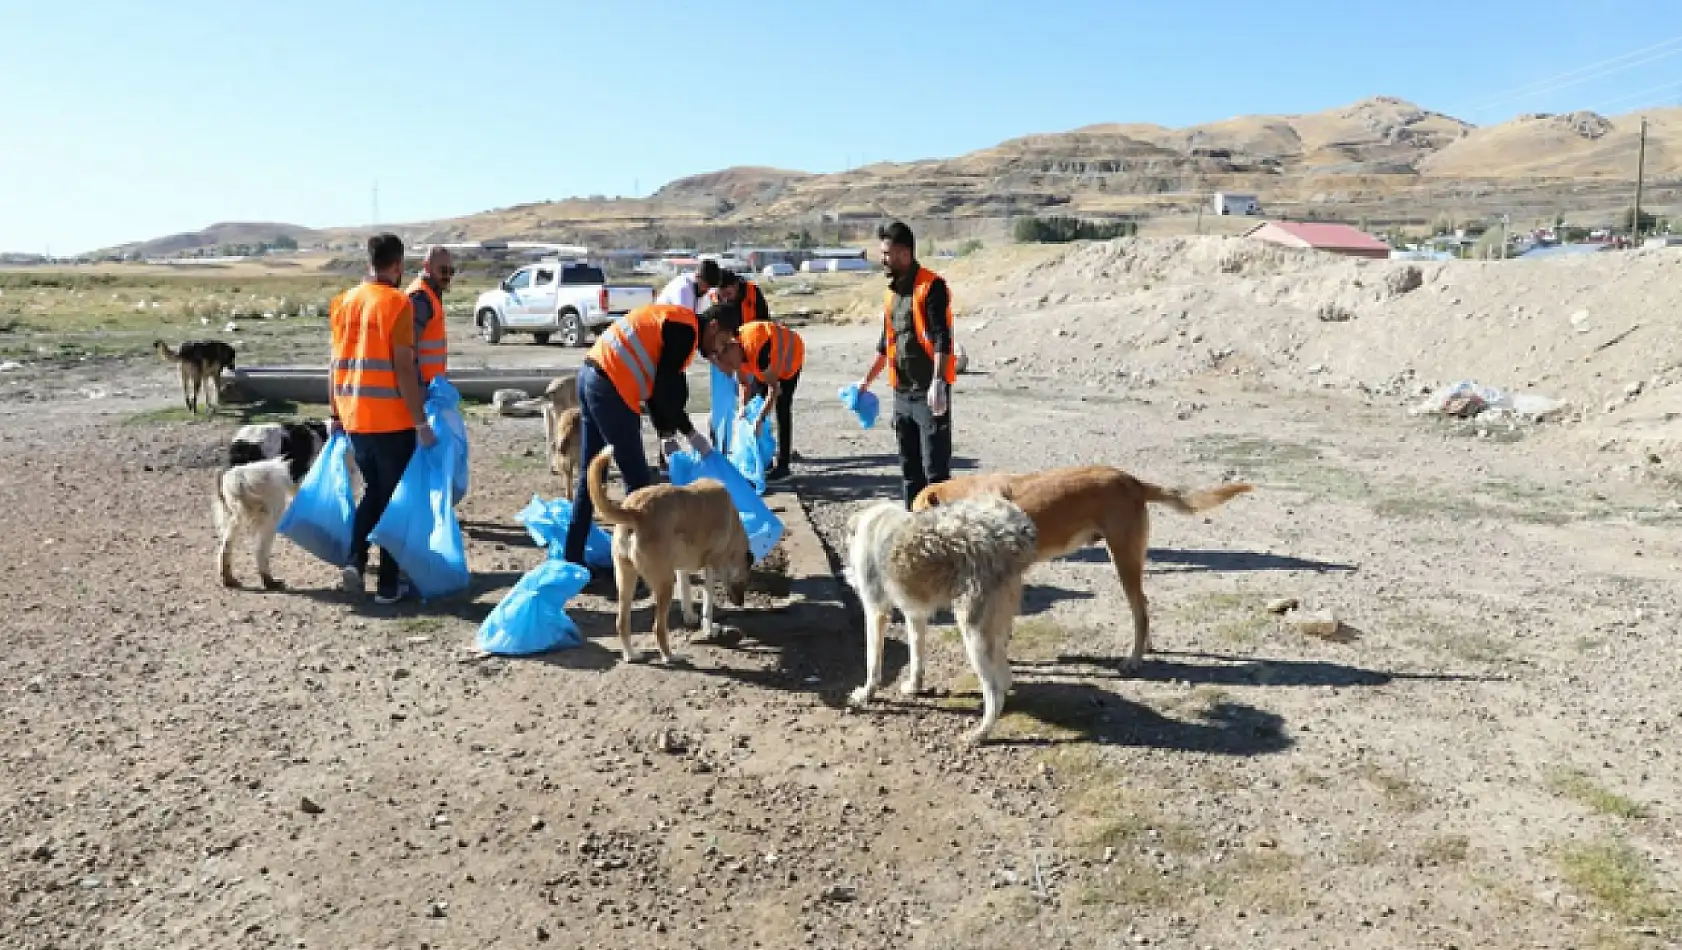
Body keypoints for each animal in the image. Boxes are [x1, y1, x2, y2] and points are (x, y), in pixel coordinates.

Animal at [588, 443, 753, 659]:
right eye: (744, 580)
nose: (741, 603)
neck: (733, 524)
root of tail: (636, 511)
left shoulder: (680, 566)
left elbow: (686, 590)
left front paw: (690, 616)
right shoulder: (710, 565)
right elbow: (708, 602)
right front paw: (709, 629)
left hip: (626, 579)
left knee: (621, 623)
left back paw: (631, 655)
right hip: (665, 584)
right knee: (658, 628)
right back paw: (670, 656)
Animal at [841, 494, 1036, 743]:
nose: (848, 577)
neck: (875, 520)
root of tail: (1012, 529)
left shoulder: (876, 612)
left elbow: (872, 662)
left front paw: (866, 694)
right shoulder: (915, 614)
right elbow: (916, 658)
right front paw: (914, 687)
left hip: (973, 634)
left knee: (994, 692)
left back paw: (978, 734)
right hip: (995, 630)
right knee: (1005, 678)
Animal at [915, 464, 1258, 665]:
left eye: (915, 513)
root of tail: (1132, 481)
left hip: (1123, 559)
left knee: (1140, 611)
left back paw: (1133, 660)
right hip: (1130, 559)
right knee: (1145, 606)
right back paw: (1146, 648)